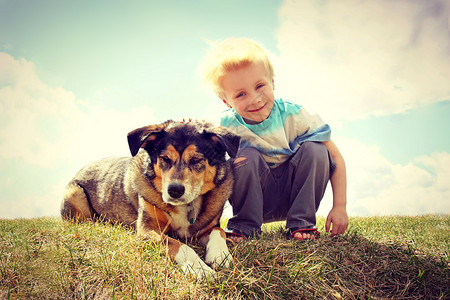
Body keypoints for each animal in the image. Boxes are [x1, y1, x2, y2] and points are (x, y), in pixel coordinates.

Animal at [62, 119, 243, 276]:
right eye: (165, 159)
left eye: (196, 160)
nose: (174, 191)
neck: (185, 206)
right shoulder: (147, 229)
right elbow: (180, 245)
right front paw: (200, 269)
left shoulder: (206, 228)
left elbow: (219, 231)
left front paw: (220, 254)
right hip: (75, 193)